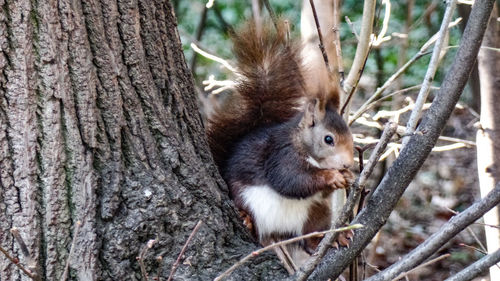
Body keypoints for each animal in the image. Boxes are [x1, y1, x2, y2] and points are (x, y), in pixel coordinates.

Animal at [205, 19, 354, 266]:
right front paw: (332, 177)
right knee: (254, 223)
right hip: (242, 197)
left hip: (316, 213)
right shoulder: (280, 155)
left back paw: (331, 238)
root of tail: (278, 231)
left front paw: (347, 177)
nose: (348, 164)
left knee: (309, 239)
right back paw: (246, 220)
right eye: (329, 139)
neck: (303, 146)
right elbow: (290, 180)